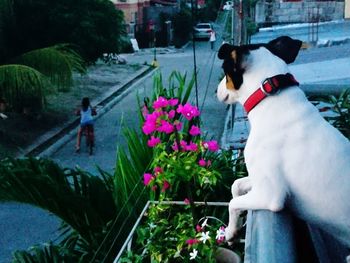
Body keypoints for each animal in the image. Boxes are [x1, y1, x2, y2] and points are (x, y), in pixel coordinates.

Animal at [216, 36, 350, 251]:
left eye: (225, 71)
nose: (216, 90)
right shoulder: (259, 179)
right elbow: (236, 186)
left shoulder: (270, 195)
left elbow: (232, 203)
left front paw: (230, 231)